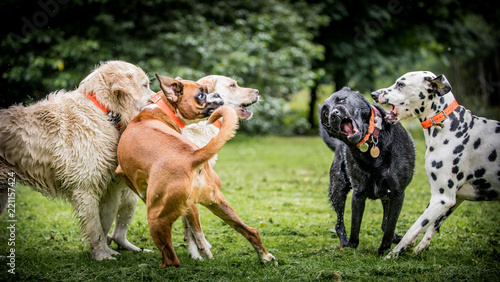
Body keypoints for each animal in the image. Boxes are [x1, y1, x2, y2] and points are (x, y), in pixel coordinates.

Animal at [0, 60, 154, 262]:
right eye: (145, 85)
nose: (158, 99)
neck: (104, 112)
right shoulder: (85, 188)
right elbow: (96, 228)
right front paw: (102, 255)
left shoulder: (108, 188)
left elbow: (104, 223)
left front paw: (106, 250)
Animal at [115, 74, 276, 268]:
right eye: (201, 95)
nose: (216, 95)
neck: (161, 109)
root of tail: (192, 156)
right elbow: (191, 226)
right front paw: (197, 251)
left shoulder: (122, 172)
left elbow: (191, 227)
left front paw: (198, 252)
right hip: (217, 202)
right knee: (251, 231)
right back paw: (265, 257)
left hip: (156, 218)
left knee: (172, 259)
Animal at [320, 87, 414, 254]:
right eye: (325, 113)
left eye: (341, 99)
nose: (333, 115)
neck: (371, 146)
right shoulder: (358, 193)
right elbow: (355, 226)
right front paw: (352, 246)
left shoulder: (397, 193)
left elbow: (390, 227)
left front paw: (384, 250)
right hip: (337, 189)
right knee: (339, 223)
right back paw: (344, 243)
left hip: (386, 197)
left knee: (385, 223)